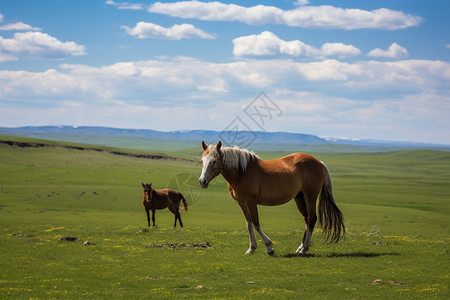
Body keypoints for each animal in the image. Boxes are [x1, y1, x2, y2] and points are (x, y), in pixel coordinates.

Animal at [198, 142, 344, 254]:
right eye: (202, 161)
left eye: (214, 161)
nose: (202, 181)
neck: (242, 172)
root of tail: (320, 163)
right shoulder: (242, 203)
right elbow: (249, 224)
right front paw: (251, 249)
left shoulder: (251, 201)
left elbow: (256, 223)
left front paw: (269, 247)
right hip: (299, 198)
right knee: (306, 219)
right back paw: (300, 247)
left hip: (310, 197)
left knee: (312, 219)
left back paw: (304, 249)